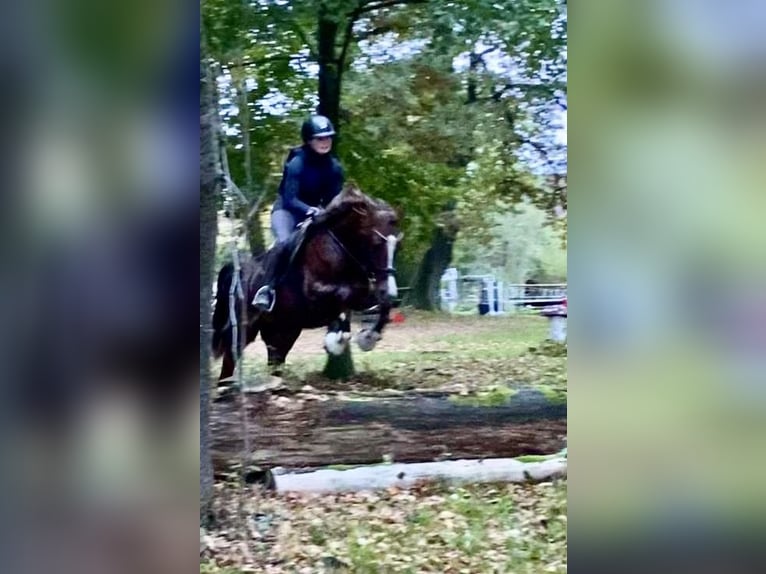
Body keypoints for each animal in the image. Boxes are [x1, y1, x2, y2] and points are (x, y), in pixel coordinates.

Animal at [211, 184, 401, 382]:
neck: (338, 249)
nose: (390, 291)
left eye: (398, 246)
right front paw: (338, 339)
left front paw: (368, 336)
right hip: (243, 329)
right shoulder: (315, 294)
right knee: (230, 359)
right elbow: (343, 296)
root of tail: (235, 271)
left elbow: (377, 303)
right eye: (376, 243)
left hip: (281, 332)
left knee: (275, 359)